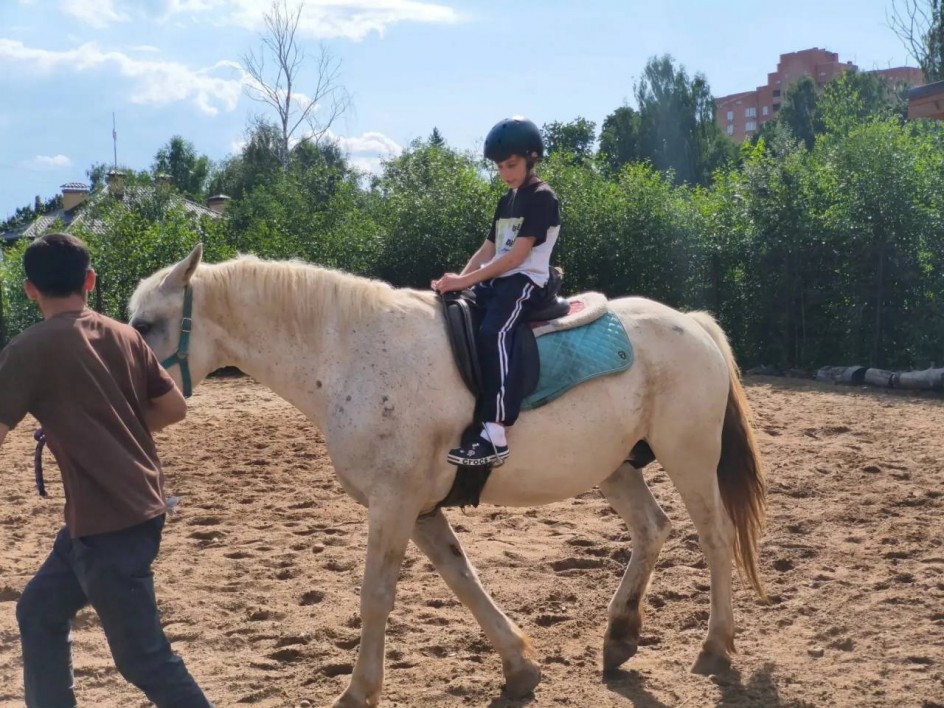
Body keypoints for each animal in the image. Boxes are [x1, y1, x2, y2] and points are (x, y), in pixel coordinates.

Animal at [129, 245, 766, 708]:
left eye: (149, 323)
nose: (135, 395)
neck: (349, 355)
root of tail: (691, 323)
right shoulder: (419, 509)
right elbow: (462, 579)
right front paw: (519, 667)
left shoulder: (392, 503)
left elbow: (376, 596)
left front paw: (358, 692)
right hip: (614, 468)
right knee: (652, 529)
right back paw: (620, 635)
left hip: (688, 456)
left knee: (713, 539)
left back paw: (714, 647)